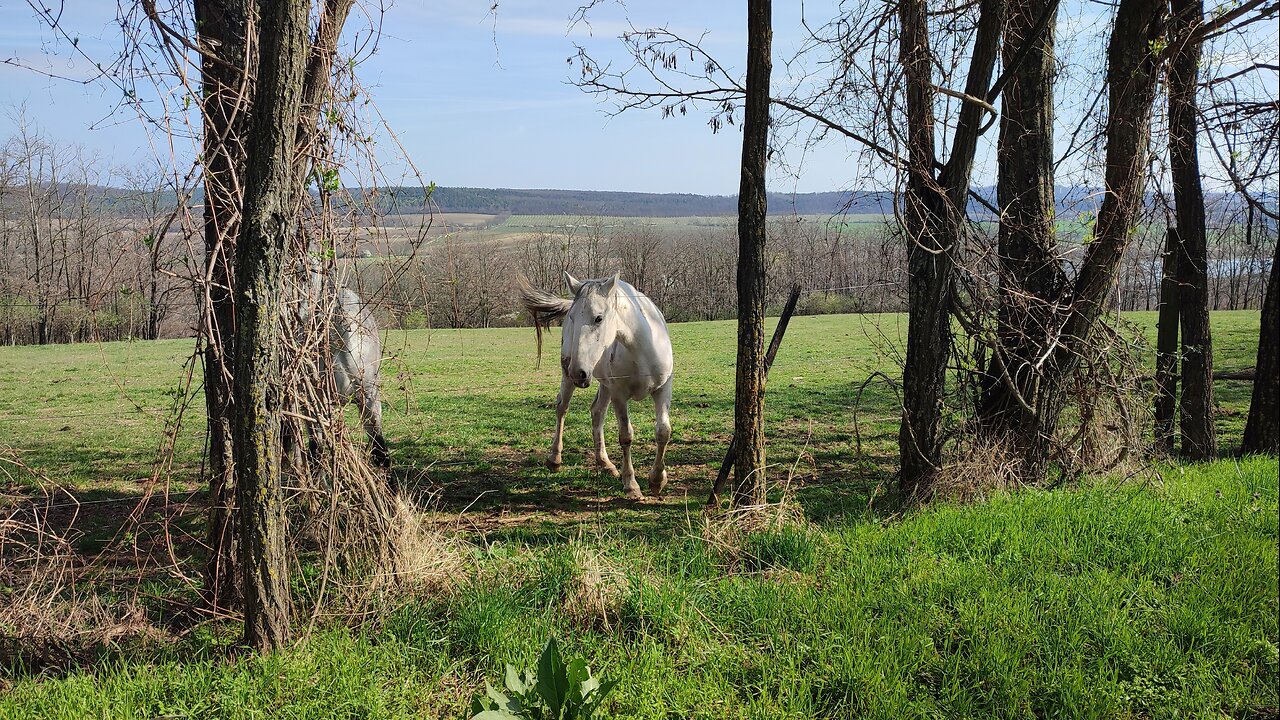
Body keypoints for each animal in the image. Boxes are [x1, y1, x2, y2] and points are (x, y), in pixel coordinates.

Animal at [522, 270, 675, 499]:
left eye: (598, 318)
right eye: (572, 318)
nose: (578, 373)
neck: (642, 349)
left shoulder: (663, 389)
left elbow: (663, 432)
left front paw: (657, 480)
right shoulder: (619, 395)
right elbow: (626, 436)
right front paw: (631, 484)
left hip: (603, 385)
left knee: (597, 411)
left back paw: (605, 463)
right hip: (571, 376)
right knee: (562, 407)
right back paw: (555, 459)